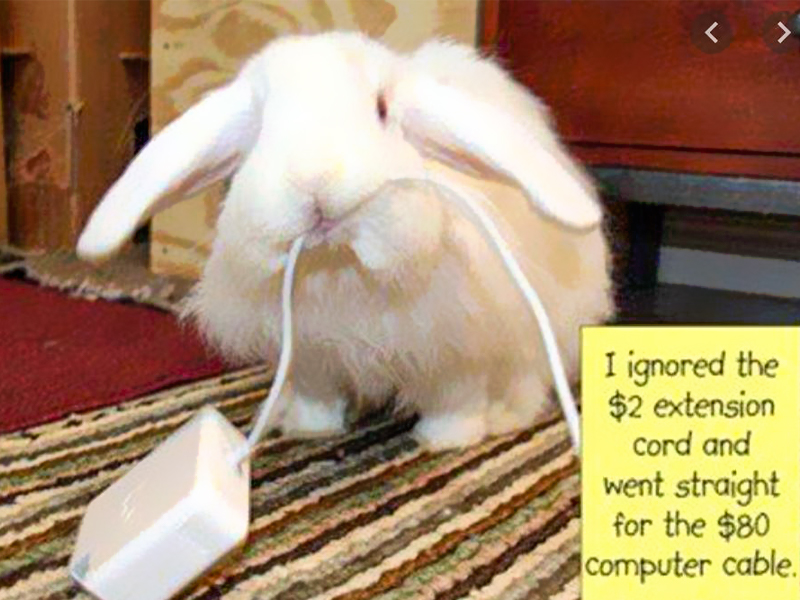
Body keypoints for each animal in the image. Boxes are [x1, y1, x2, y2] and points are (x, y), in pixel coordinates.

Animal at [77, 31, 615, 450]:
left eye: (381, 109)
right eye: (262, 125)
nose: (314, 183)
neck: (340, 267)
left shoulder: (456, 349)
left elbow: (455, 400)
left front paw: (445, 442)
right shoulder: (312, 357)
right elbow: (318, 398)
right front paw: (310, 431)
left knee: (529, 376)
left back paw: (505, 418)